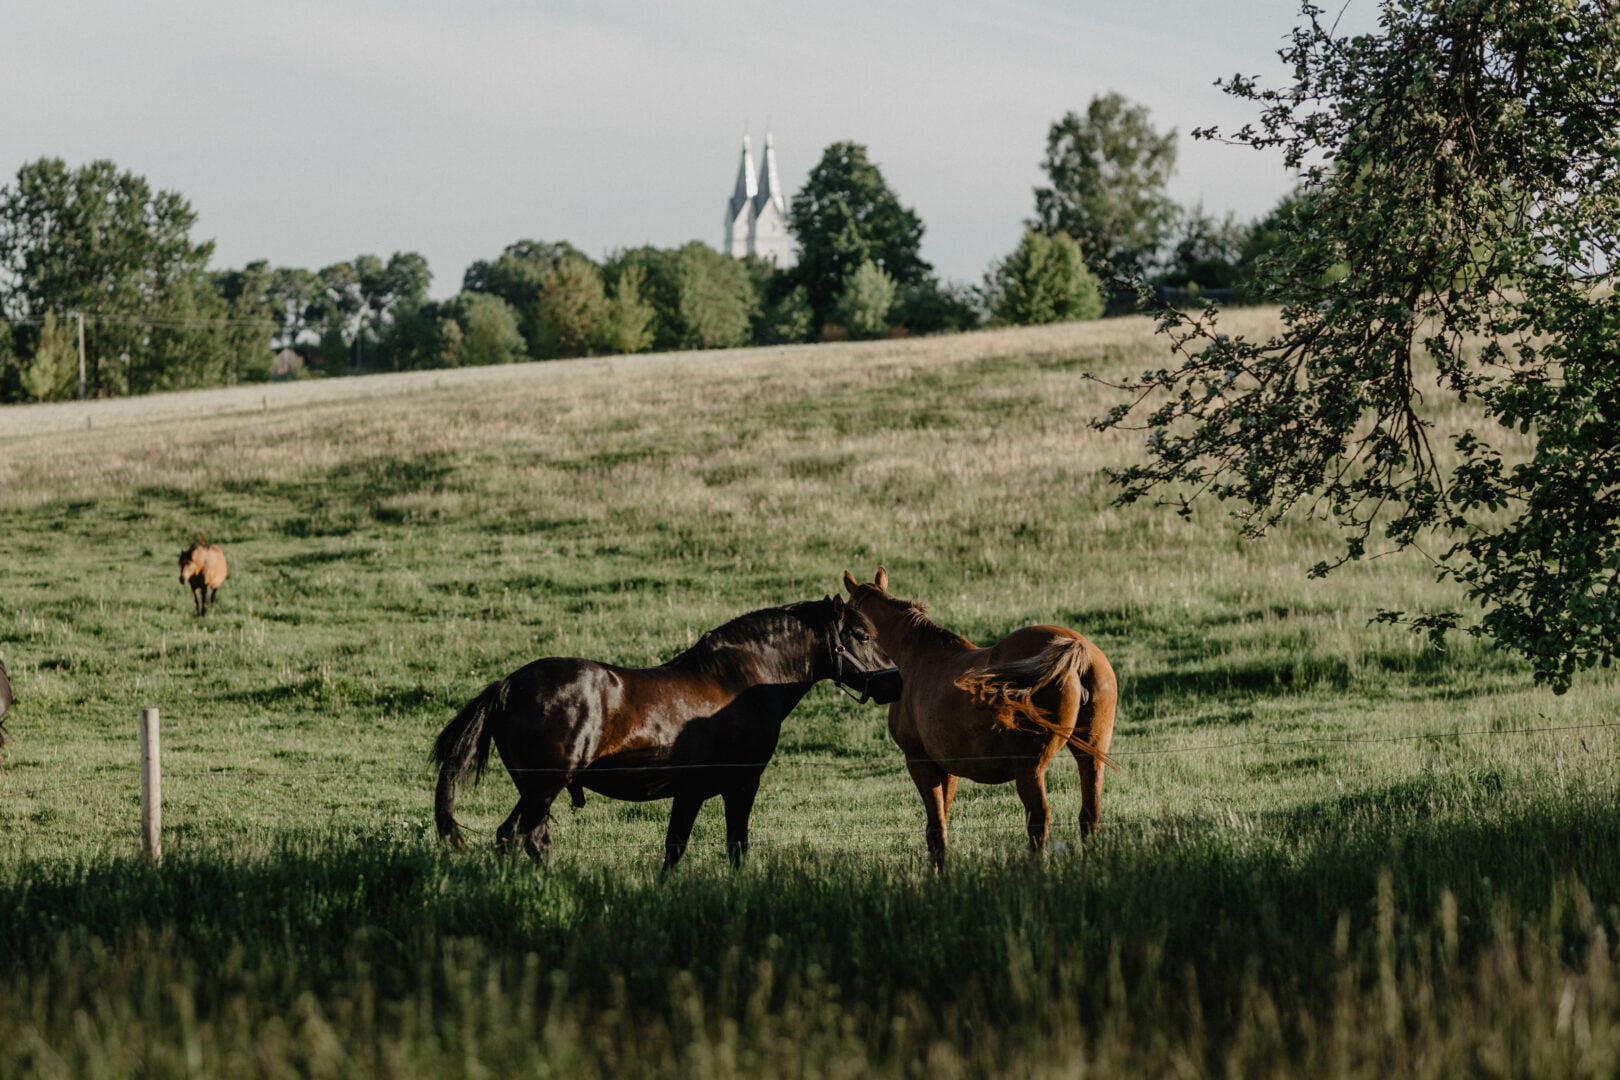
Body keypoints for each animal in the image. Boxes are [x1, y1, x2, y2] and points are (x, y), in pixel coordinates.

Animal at [430, 599, 894, 867]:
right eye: (860, 635)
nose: (895, 681)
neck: (742, 681)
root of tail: (507, 686)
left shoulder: (691, 793)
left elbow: (675, 849)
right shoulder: (740, 785)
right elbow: (734, 846)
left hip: (537, 791)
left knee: (528, 839)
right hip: (543, 788)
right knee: (516, 837)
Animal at [842, 569, 1121, 867]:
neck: (916, 658)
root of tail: (1076, 648)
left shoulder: (919, 762)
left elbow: (935, 829)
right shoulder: (948, 768)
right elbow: (941, 822)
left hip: (1030, 768)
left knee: (1039, 818)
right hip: (1091, 755)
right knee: (1089, 813)